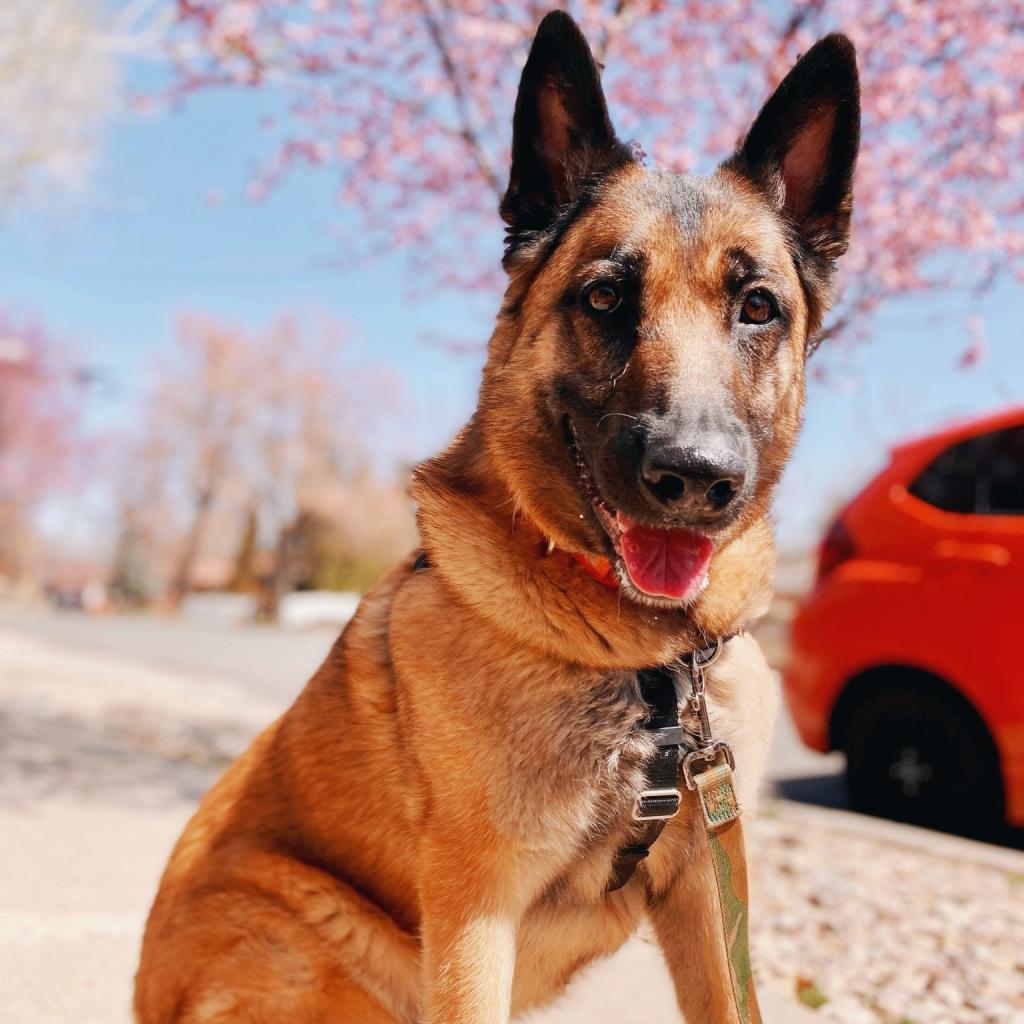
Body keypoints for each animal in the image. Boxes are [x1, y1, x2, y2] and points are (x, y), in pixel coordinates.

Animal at [134, 9, 856, 1024]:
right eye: (605, 295)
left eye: (758, 307)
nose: (694, 475)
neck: (650, 665)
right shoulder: (477, 911)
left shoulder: (704, 903)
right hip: (314, 934)